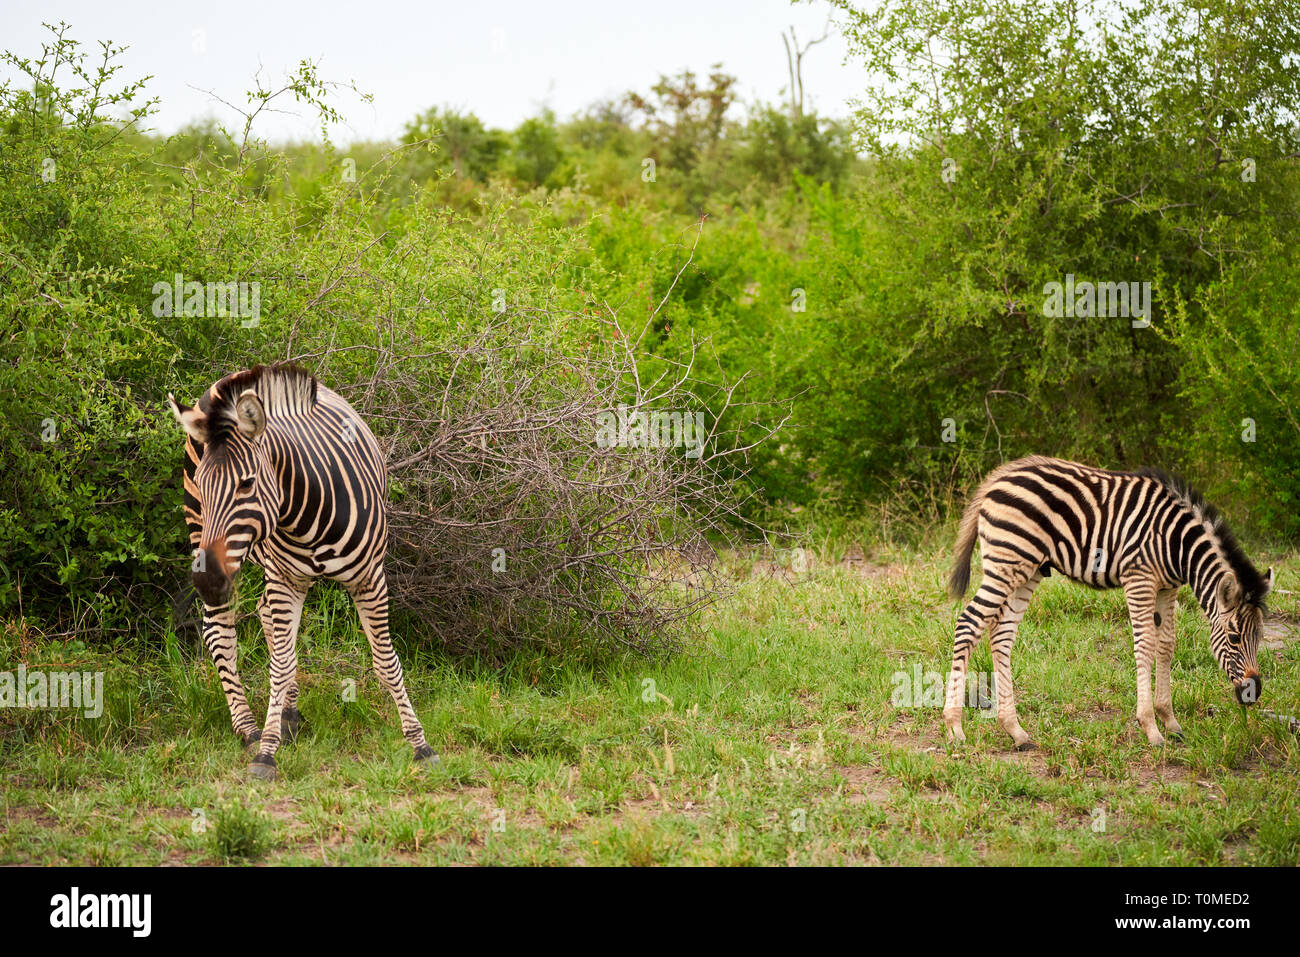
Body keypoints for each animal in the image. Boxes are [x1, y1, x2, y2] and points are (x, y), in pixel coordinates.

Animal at [167, 361, 436, 780]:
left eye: (247, 483)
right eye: (203, 482)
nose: (207, 581)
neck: (306, 509)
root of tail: (228, 381)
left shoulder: (370, 578)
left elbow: (386, 662)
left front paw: (420, 745)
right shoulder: (285, 580)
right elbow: (280, 663)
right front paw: (266, 752)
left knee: (264, 617)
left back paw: (287, 716)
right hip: (208, 535)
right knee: (220, 633)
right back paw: (249, 729)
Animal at [946, 452, 1268, 748]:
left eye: (1260, 637)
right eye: (1234, 637)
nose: (1253, 691)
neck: (1178, 544)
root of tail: (999, 476)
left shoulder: (1168, 588)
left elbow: (1166, 645)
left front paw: (1171, 722)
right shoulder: (1139, 579)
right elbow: (1145, 645)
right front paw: (1151, 728)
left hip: (1028, 569)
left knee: (1001, 633)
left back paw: (1015, 731)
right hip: (1007, 560)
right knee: (969, 623)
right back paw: (954, 727)